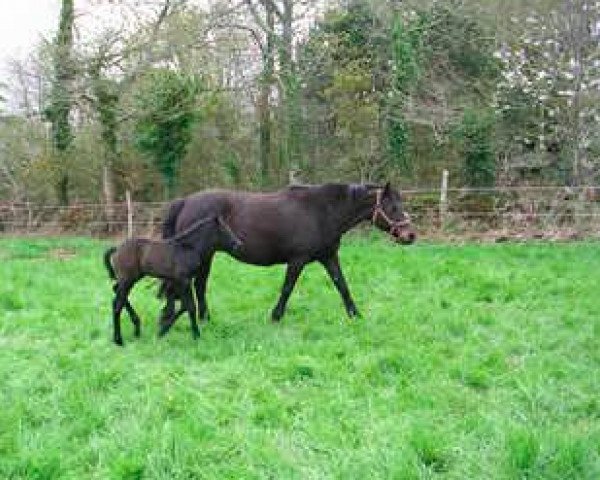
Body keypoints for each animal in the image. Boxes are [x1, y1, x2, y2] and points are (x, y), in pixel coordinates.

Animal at [105, 217, 241, 344]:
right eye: (224, 229)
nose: (237, 244)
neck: (189, 248)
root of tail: (116, 249)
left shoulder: (179, 282)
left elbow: (184, 306)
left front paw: (162, 331)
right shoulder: (184, 280)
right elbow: (190, 306)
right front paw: (196, 335)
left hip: (131, 279)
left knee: (116, 293)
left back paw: (136, 328)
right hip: (127, 280)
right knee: (117, 304)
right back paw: (119, 339)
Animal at [157, 182, 414, 328]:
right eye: (393, 207)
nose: (410, 235)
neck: (322, 212)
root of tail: (185, 201)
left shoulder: (329, 257)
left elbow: (342, 285)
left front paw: (355, 315)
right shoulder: (297, 260)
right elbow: (287, 288)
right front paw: (275, 316)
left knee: (199, 285)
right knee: (197, 285)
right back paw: (202, 319)